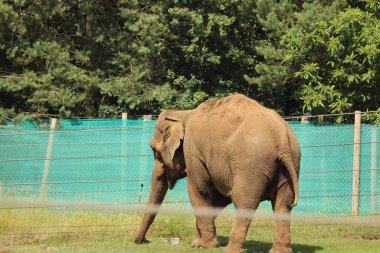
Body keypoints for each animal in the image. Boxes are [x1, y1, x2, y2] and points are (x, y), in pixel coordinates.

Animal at [134, 94, 300, 253]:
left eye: (155, 152)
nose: (145, 241)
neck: (185, 113)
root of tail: (282, 136)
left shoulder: (193, 150)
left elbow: (199, 190)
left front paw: (204, 246)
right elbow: (218, 198)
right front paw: (197, 243)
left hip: (251, 165)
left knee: (244, 202)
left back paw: (231, 249)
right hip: (290, 164)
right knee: (283, 205)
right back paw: (280, 250)